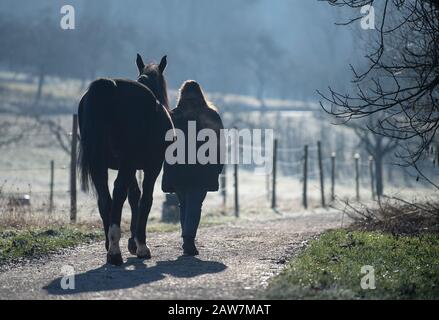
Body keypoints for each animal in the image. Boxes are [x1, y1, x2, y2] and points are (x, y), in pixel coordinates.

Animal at [77, 54, 174, 264]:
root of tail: (108, 86)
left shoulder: (130, 166)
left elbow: (134, 196)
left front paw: (132, 242)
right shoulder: (152, 166)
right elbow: (145, 200)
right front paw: (141, 244)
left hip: (100, 164)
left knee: (105, 198)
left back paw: (109, 245)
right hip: (127, 164)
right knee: (118, 192)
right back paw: (115, 250)